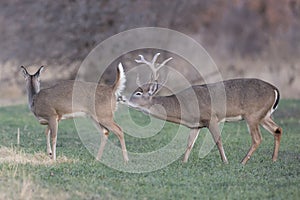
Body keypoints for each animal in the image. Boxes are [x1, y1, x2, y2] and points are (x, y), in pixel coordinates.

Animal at [128, 53, 282, 164]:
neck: (184, 108)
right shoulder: (195, 125)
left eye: (138, 93)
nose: (124, 99)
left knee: (258, 138)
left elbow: (218, 140)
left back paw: (243, 162)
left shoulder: (211, 117)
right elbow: (189, 144)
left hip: (252, 115)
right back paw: (273, 159)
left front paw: (225, 161)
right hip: (264, 115)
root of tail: (274, 89)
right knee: (277, 130)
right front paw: (184, 162)